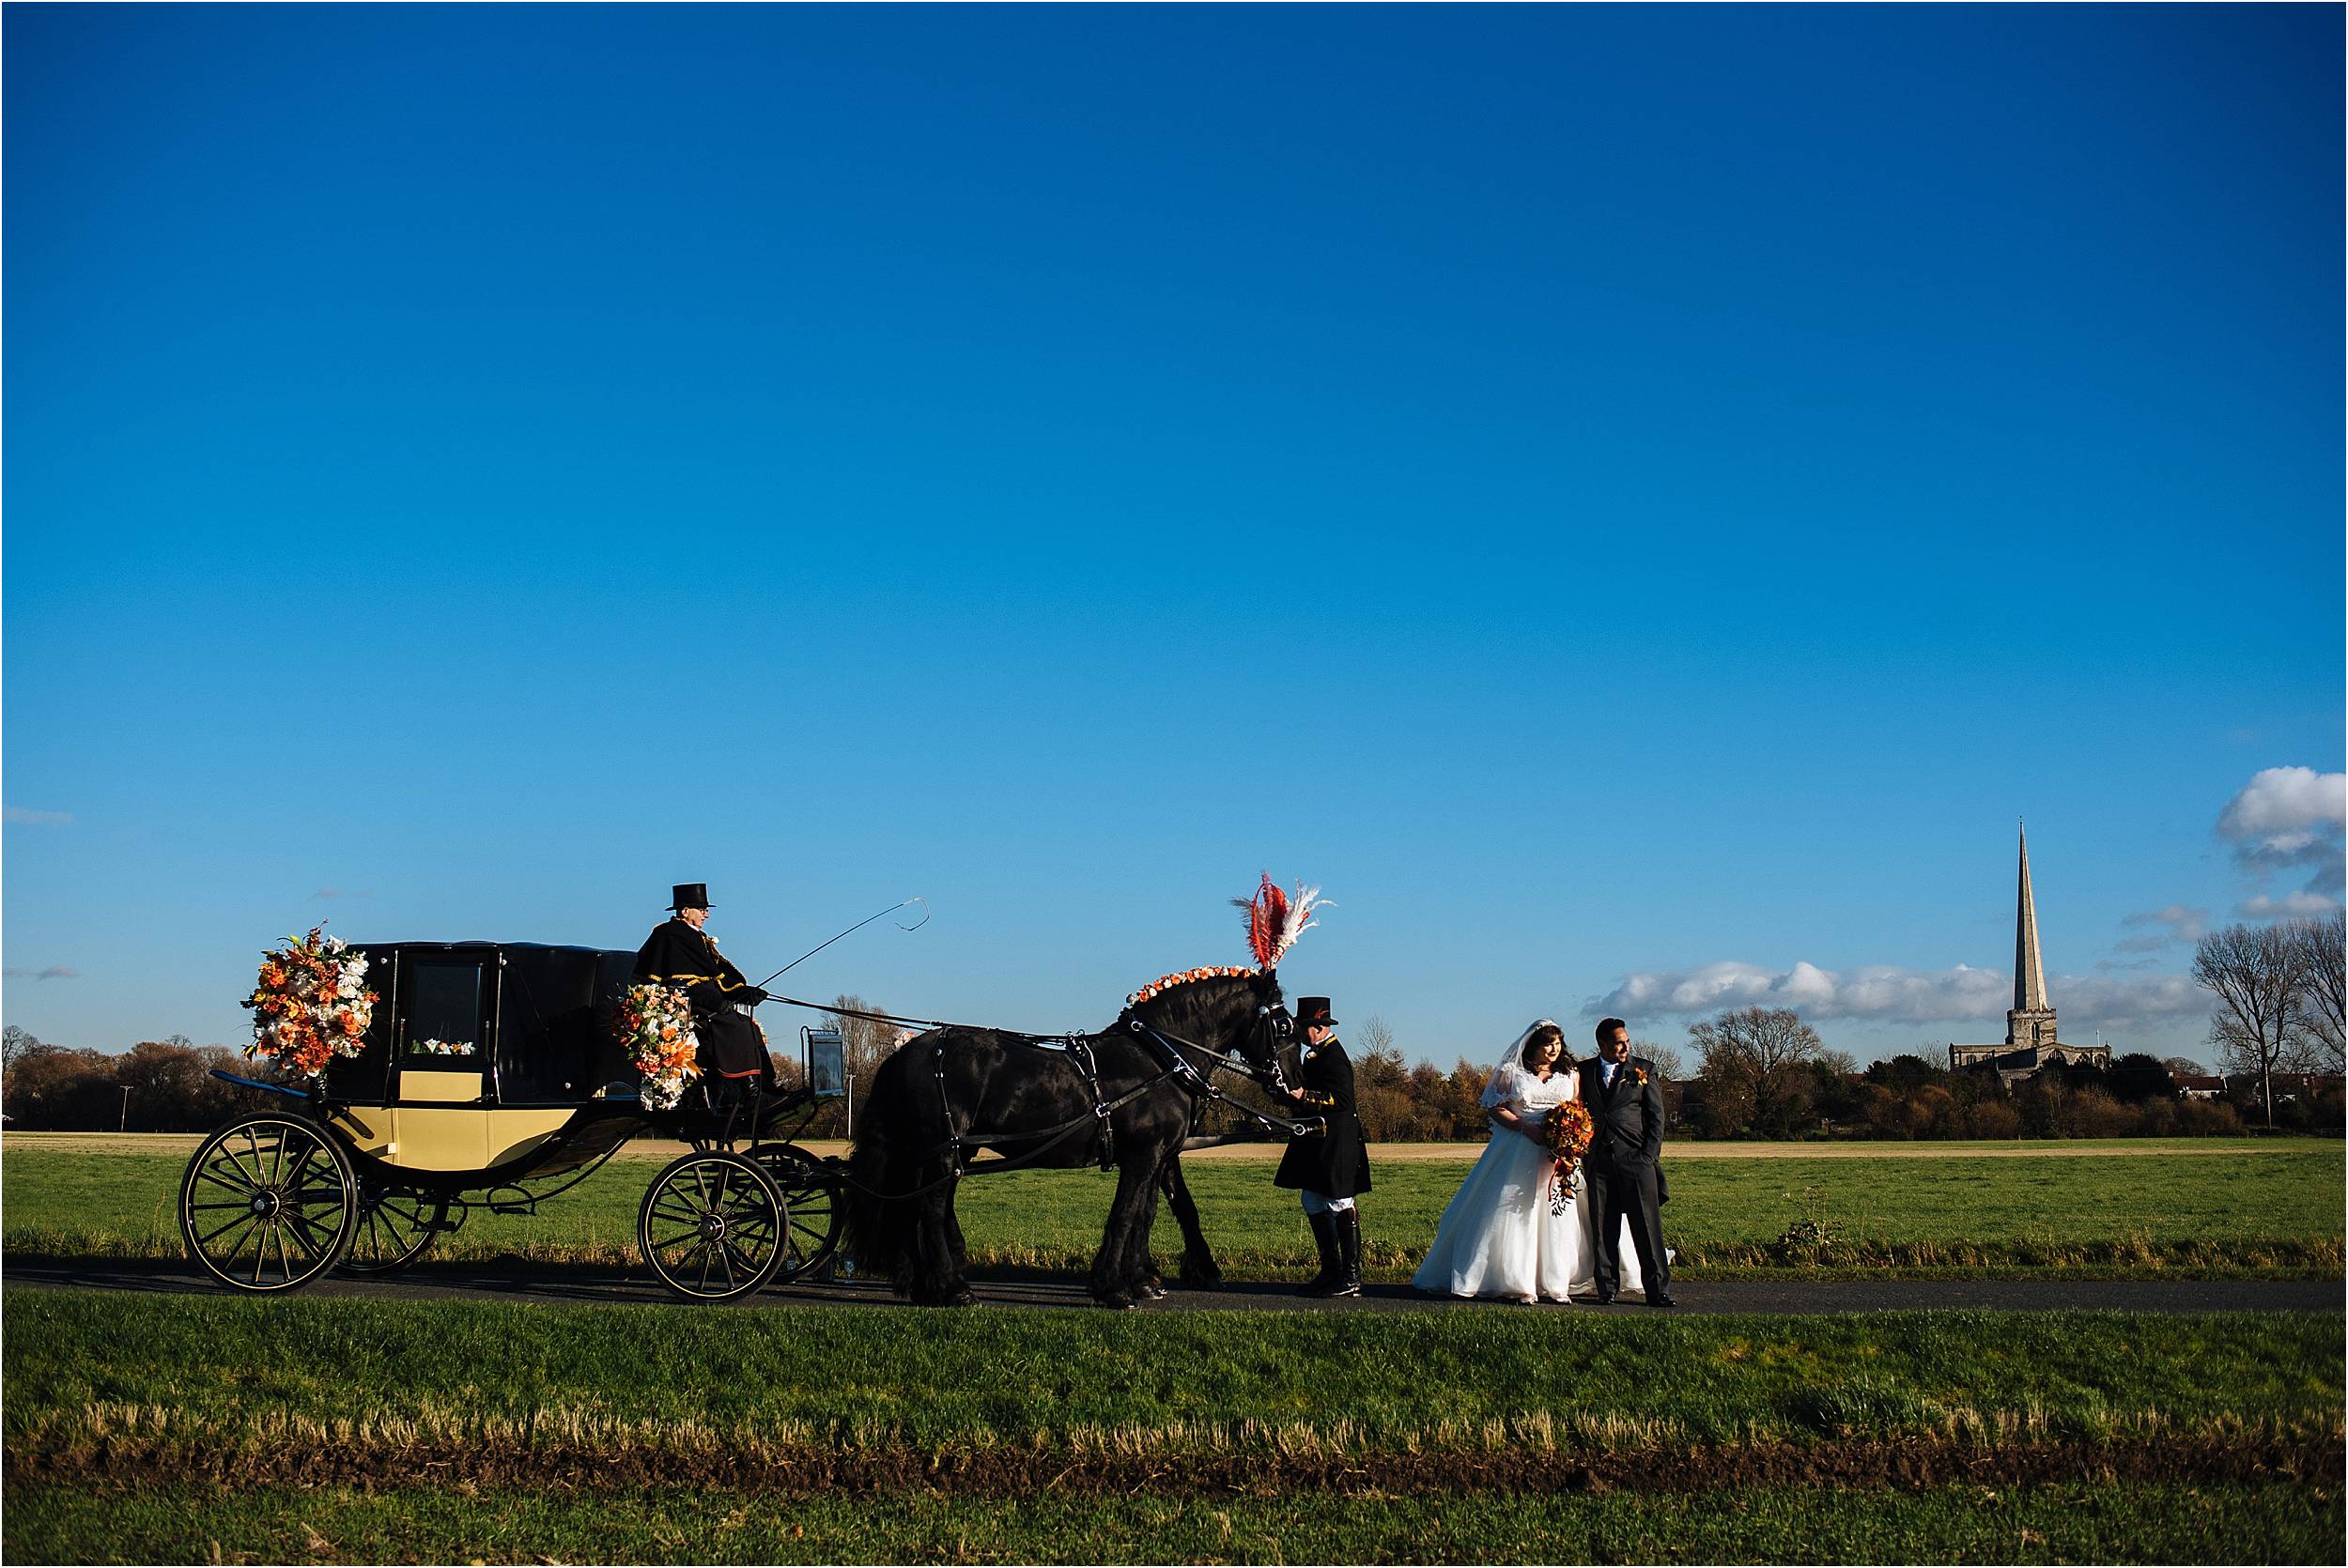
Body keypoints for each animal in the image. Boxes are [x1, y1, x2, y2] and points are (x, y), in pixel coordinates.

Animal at [841, 967, 1296, 1314]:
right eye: (1284, 1025)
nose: (1293, 1085)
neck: (1159, 1060)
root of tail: (905, 1051)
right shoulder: (1144, 1155)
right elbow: (1125, 1215)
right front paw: (1113, 1288)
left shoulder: (1157, 1156)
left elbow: (1146, 1214)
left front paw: (1143, 1281)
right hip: (944, 1149)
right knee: (931, 1211)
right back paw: (953, 1289)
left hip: (943, 1152)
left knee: (914, 1208)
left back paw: (925, 1284)